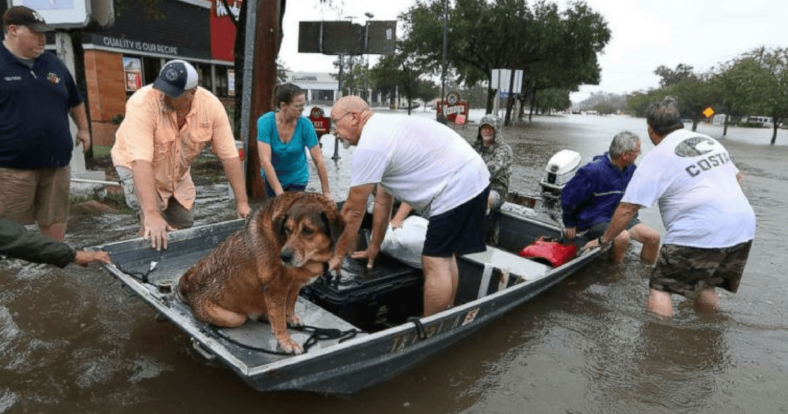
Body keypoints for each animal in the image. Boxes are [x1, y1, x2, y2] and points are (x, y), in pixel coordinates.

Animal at [179, 192, 344, 354]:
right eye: (287, 229)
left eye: (308, 230)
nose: (284, 256)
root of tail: (189, 291)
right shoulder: (276, 289)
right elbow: (279, 320)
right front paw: (286, 341)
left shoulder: (293, 285)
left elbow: (290, 303)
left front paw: (291, 318)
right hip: (234, 317)